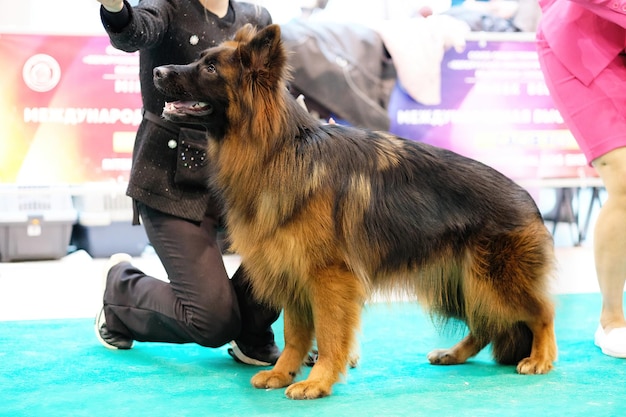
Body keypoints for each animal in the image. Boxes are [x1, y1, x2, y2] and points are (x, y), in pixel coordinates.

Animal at [155, 23, 556, 400]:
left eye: (209, 68)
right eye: (200, 59)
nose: (157, 71)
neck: (279, 150)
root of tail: (529, 200)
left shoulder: (328, 278)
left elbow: (329, 334)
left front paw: (318, 381)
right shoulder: (293, 272)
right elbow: (295, 335)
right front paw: (284, 372)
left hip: (492, 282)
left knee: (541, 312)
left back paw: (540, 358)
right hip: (457, 285)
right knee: (487, 324)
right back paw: (454, 354)